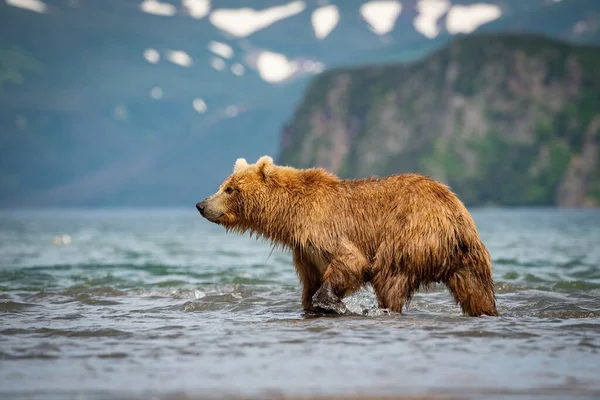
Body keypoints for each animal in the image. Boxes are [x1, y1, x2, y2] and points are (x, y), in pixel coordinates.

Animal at [196, 155, 496, 318]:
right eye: (223, 185)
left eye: (230, 189)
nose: (201, 204)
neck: (291, 216)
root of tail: (454, 209)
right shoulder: (305, 252)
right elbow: (309, 284)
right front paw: (313, 306)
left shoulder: (325, 229)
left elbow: (350, 262)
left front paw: (332, 302)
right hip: (467, 258)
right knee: (476, 290)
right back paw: (486, 311)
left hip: (410, 234)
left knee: (390, 278)